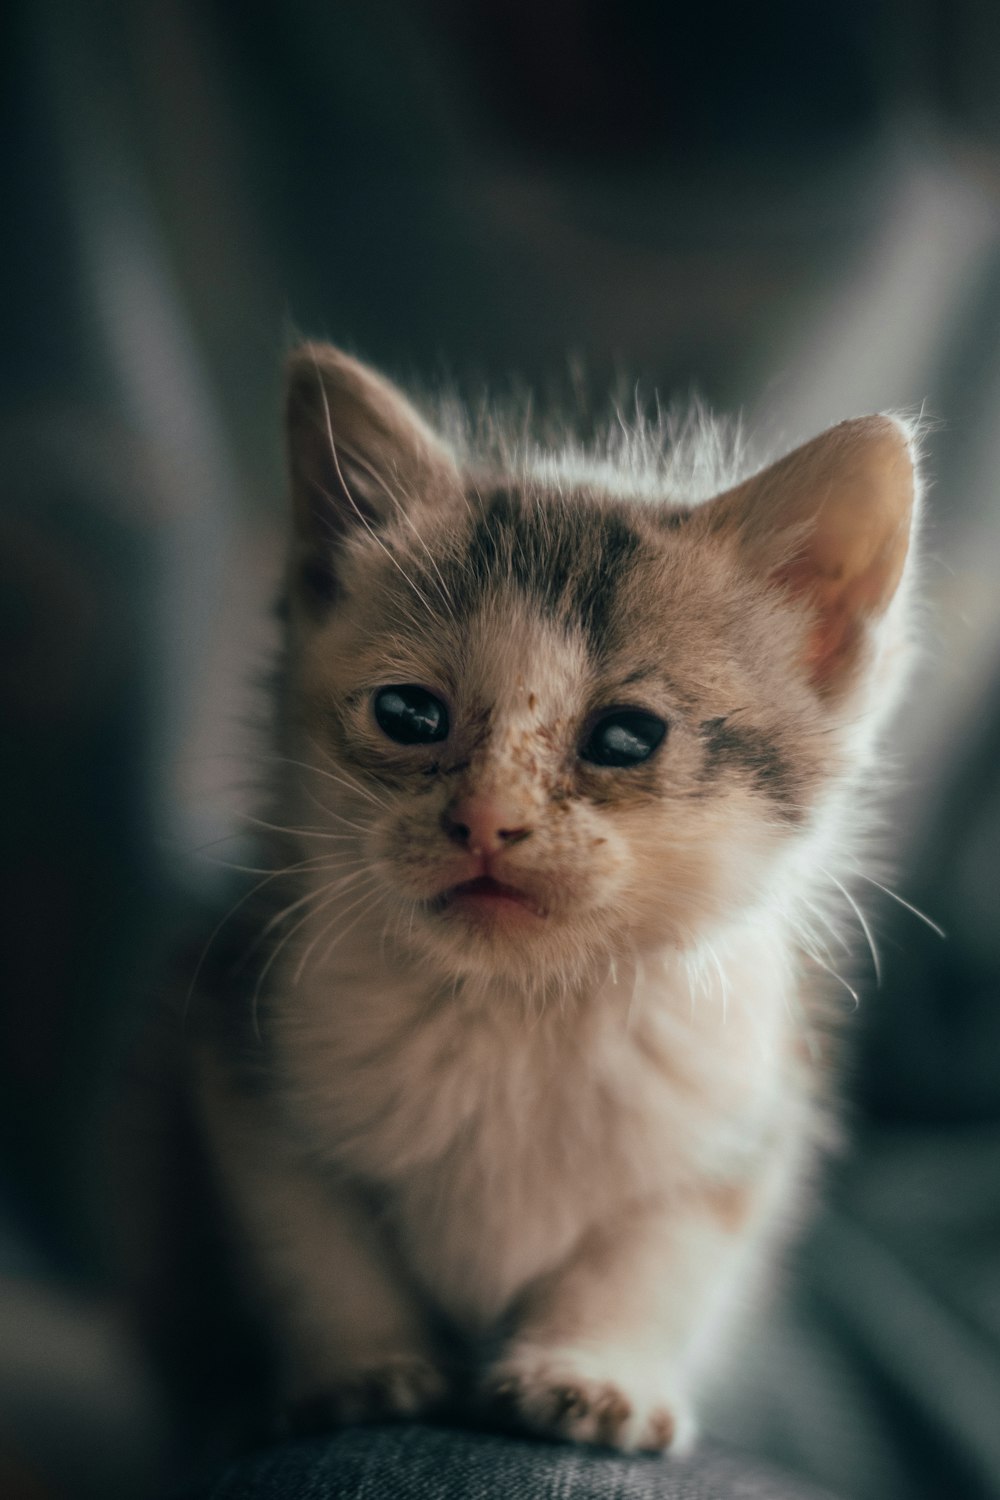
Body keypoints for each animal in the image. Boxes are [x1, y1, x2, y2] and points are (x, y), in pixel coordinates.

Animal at [191, 343, 917, 1452]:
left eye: (626, 736)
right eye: (409, 714)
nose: (487, 819)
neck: (518, 1011)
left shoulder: (740, 1123)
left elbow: (653, 1258)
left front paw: (589, 1371)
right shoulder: (245, 1060)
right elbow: (313, 1247)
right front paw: (363, 1369)